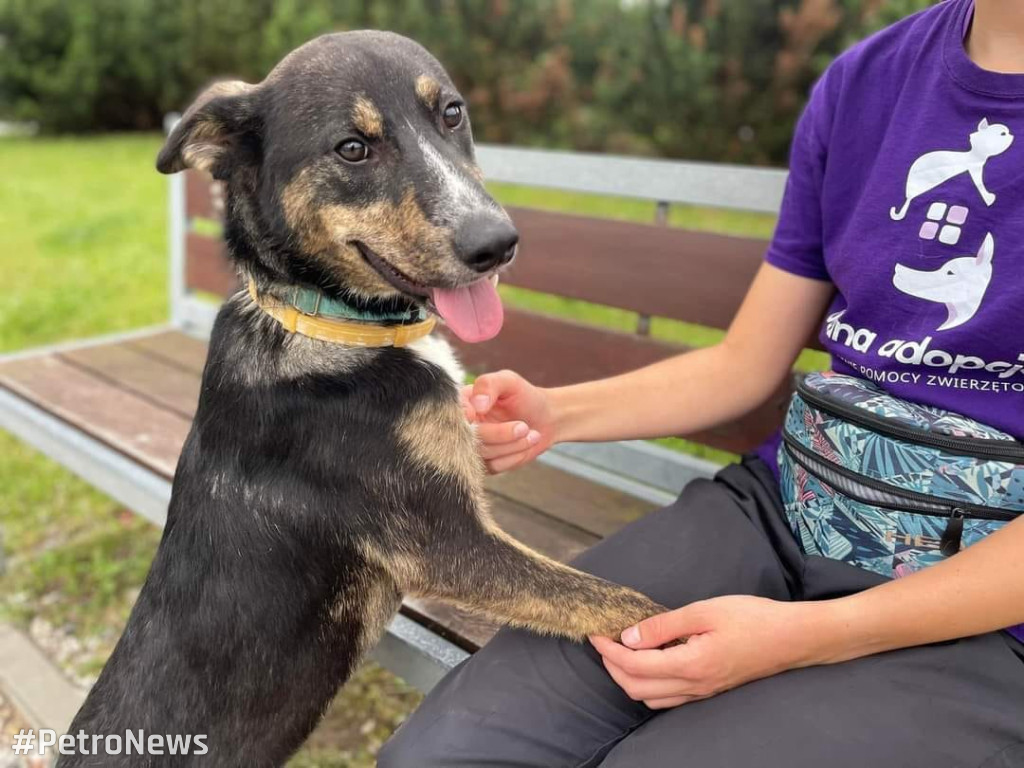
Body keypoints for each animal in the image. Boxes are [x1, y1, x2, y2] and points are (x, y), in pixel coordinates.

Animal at [58, 31, 663, 768]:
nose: (498, 245)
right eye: (352, 148)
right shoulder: (447, 541)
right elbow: (623, 603)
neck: (324, 323)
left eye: (452, 114)